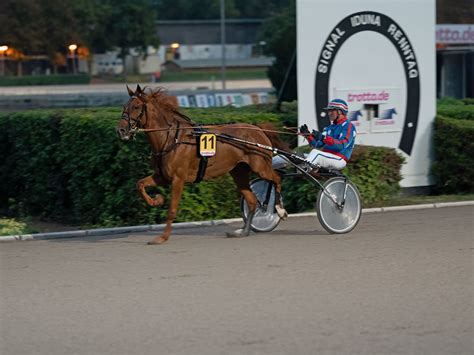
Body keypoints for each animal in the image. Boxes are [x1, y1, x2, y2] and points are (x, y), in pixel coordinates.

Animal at [116, 85, 286, 245]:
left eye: (136, 106)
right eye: (124, 106)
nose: (120, 130)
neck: (171, 139)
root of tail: (258, 129)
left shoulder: (178, 178)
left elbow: (172, 209)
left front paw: (162, 237)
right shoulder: (162, 176)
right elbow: (140, 184)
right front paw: (156, 200)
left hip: (260, 167)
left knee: (277, 178)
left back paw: (279, 209)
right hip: (239, 172)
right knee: (251, 201)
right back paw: (243, 231)